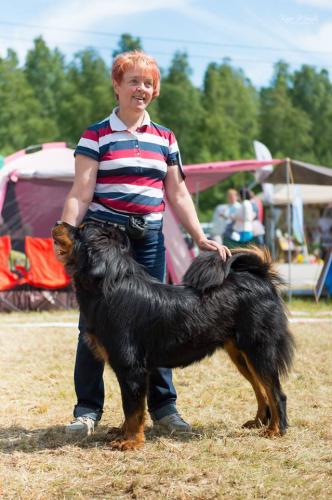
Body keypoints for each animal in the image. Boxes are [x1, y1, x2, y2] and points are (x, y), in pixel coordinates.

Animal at [53, 222, 294, 450]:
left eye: (81, 229)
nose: (58, 222)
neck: (110, 286)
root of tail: (260, 277)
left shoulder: (131, 369)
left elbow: (133, 409)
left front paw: (131, 441)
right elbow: (130, 407)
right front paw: (123, 434)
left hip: (259, 350)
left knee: (276, 392)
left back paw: (275, 429)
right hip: (242, 355)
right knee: (261, 389)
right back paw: (258, 422)